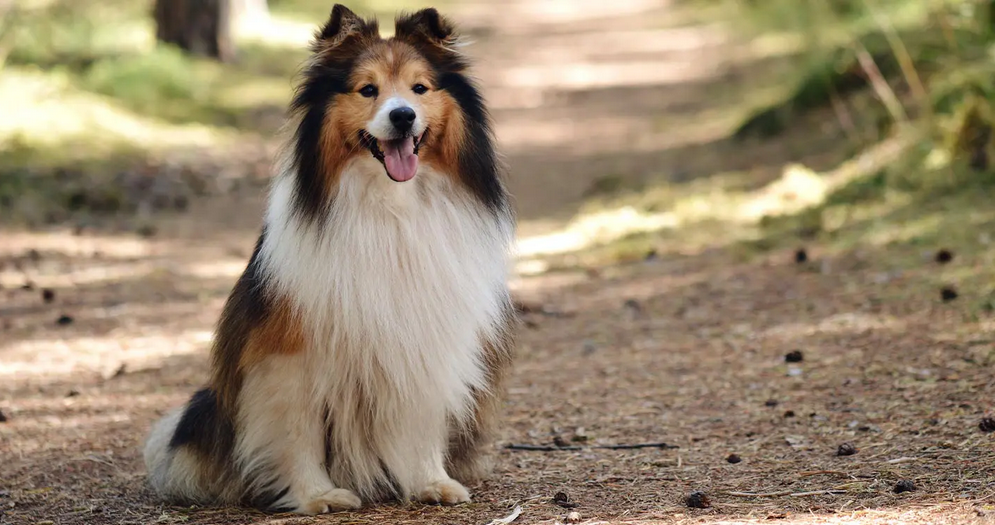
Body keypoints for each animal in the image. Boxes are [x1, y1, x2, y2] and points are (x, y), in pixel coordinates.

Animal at [144, 3, 516, 512]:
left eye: (419, 88)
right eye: (368, 89)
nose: (403, 116)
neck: (389, 209)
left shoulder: (425, 338)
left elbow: (421, 417)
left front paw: (431, 481)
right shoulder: (289, 352)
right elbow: (296, 428)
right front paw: (315, 494)